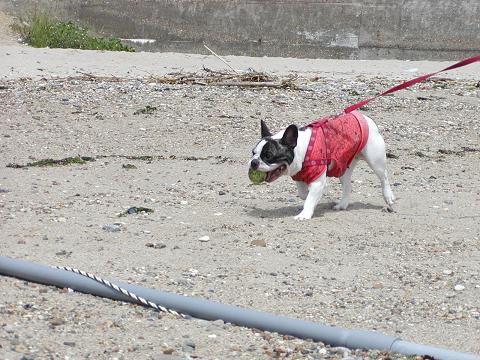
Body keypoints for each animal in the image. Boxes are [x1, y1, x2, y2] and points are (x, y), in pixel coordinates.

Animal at [249, 112, 396, 219]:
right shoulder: (299, 175)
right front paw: (309, 196)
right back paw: (342, 204)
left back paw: (388, 196)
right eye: (253, 153)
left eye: (268, 156)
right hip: (343, 166)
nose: (254, 162)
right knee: (347, 185)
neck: (302, 149)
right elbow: (303, 194)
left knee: (384, 177)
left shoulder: (317, 180)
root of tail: (366, 118)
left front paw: (304, 214)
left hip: (375, 160)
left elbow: (309, 198)